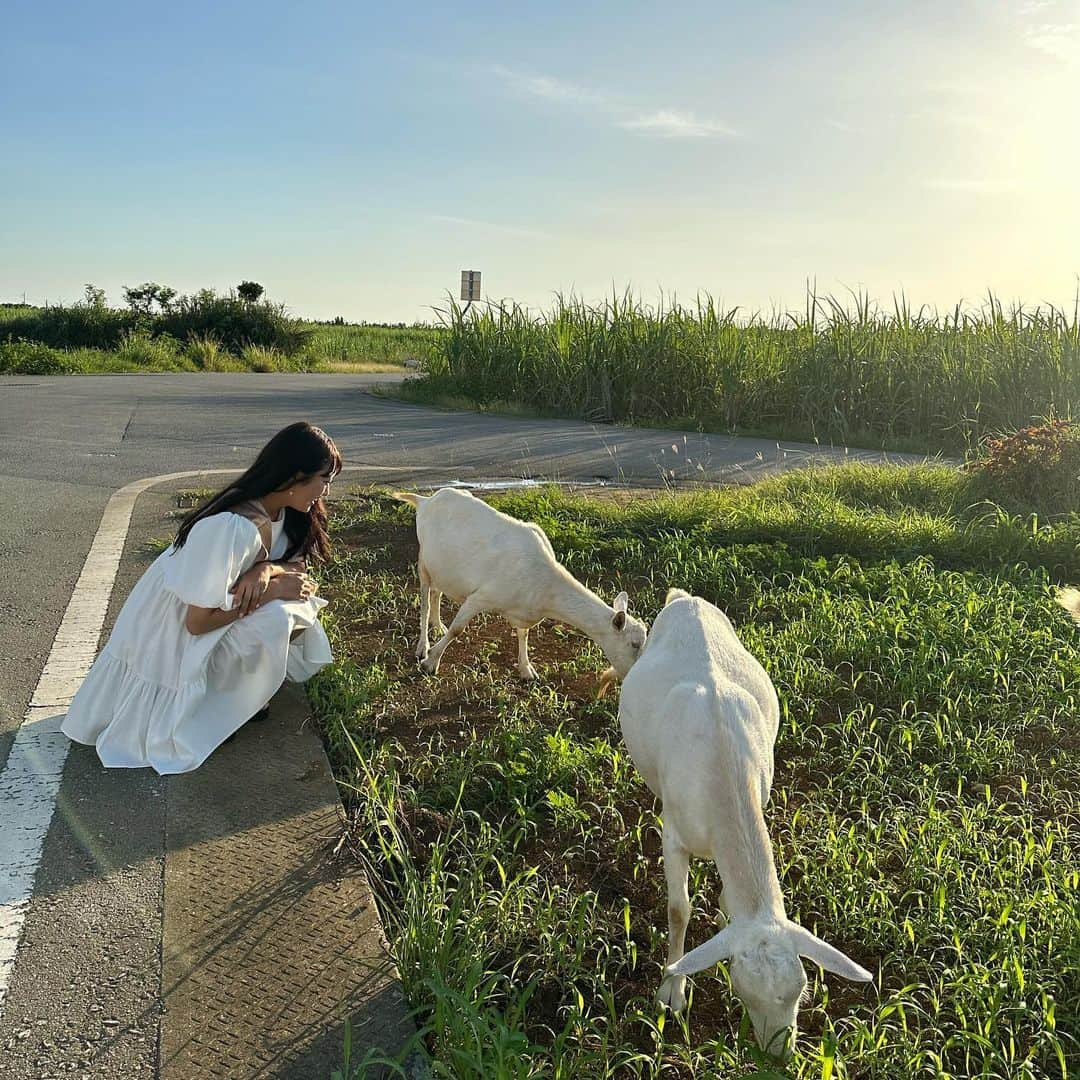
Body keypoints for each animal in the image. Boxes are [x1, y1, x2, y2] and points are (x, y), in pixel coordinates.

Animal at [393, 490, 643, 682]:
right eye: (634, 644)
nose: (633, 677)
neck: (544, 583)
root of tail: (425, 501)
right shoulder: (481, 596)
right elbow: (458, 629)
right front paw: (430, 662)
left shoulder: (523, 611)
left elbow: (524, 634)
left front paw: (527, 670)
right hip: (424, 563)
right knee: (425, 600)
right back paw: (423, 645)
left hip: (442, 567)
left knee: (436, 592)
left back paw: (438, 626)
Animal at [617, 587, 868, 1058]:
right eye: (742, 990)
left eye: (802, 988)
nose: (780, 1056)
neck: (723, 764)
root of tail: (684, 597)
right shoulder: (675, 835)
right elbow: (678, 909)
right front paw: (671, 990)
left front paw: (722, 915)